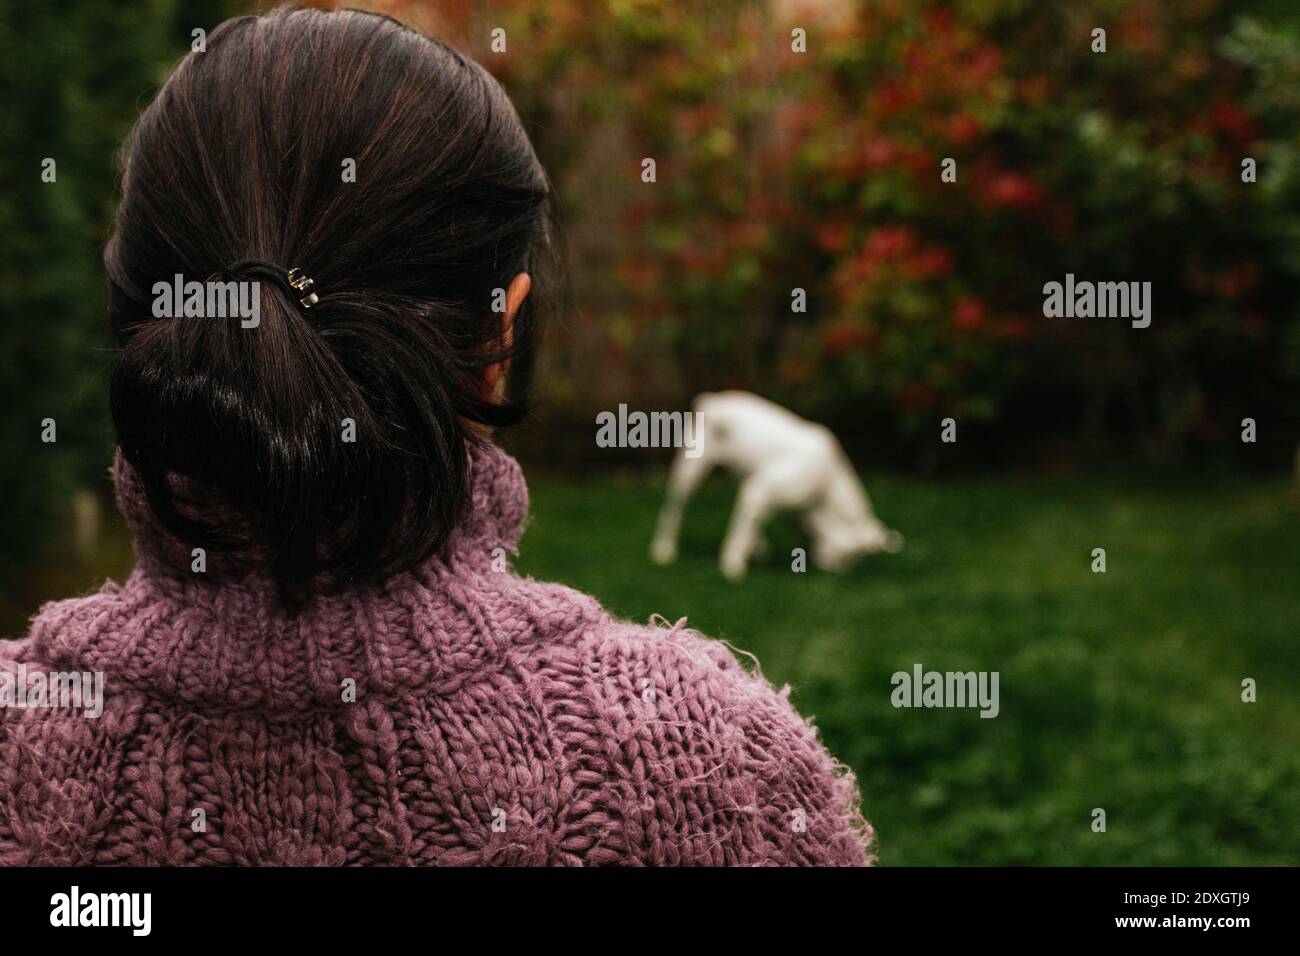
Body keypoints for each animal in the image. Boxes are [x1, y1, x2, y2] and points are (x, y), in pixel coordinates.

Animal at [650, 390, 904, 582]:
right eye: (851, 557)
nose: (836, 571)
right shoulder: (762, 489)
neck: (826, 492)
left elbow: (750, 523)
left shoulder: (766, 496)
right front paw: (732, 566)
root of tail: (715, 400)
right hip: (691, 469)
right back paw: (664, 549)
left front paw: (753, 546)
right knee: (674, 508)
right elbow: (740, 535)